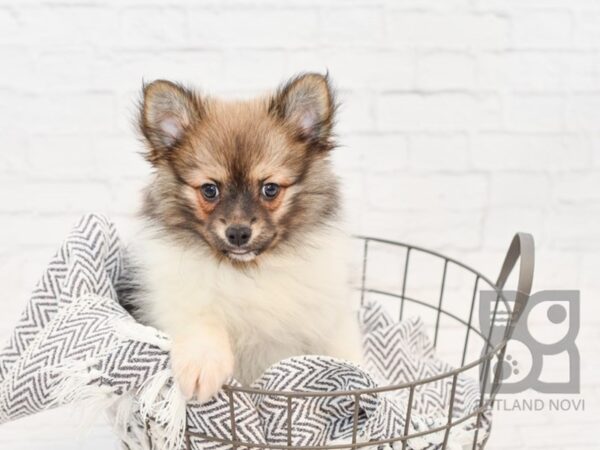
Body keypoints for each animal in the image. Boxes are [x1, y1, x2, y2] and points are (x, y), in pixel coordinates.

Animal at [127, 72, 360, 402]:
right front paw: (202, 366)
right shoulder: (181, 299)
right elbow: (201, 322)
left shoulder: (328, 317)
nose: (238, 233)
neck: (248, 270)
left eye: (270, 189)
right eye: (210, 190)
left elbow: (343, 352)